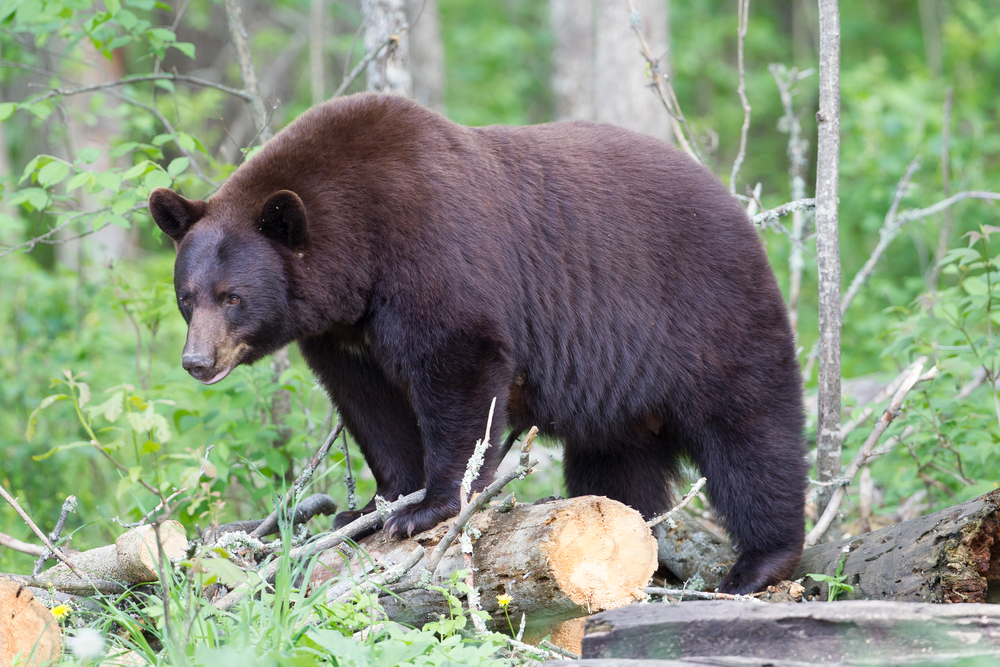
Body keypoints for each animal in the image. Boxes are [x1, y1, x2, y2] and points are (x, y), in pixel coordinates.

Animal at [149, 92, 806, 594]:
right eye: (187, 295)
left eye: (233, 297)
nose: (196, 361)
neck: (359, 254)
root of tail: (735, 207)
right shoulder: (344, 335)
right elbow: (372, 405)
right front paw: (376, 506)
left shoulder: (434, 251)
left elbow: (459, 369)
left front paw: (430, 507)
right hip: (622, 394)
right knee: (617, 466)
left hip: (706, 314)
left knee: (751, 433)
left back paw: (757, 564)